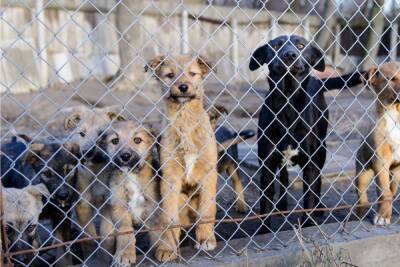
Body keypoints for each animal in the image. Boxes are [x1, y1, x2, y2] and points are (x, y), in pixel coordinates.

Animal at [145, 55, 217, 264]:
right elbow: (169, 217)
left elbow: (207, 210)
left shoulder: (209, 173)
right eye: (170, 75)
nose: (183, 87)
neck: (185, 120)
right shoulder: (170, 176)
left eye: (193, 73)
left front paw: (206, 239)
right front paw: (167, 249)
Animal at [250, 35, 366, 232]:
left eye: (300, 45)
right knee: (284, 175)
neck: (288, 102)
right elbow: (265, 202)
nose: (290, 55)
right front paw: (264, 231)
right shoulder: (267, 164)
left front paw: (309, 224)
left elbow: (309, 196)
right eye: (276, 45)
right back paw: (281, 205)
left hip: (321, 150)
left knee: (318, 179)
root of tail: (317, 80)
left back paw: (318, 208)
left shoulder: (310, 164)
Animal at [356, 62, 400, 226]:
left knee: (391, 190)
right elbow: (384, 192)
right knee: (362, 197)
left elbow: (387, 192)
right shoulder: (380, 159)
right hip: (362, 173)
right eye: (391, 79)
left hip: (395, 174)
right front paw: (382, 216)